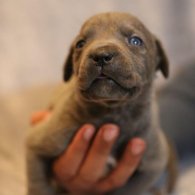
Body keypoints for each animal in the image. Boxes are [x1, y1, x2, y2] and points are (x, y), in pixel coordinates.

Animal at [26, 12, 177, 195]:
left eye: (135, 41)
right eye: (80, 44)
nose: (101, 55)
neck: (112, 111)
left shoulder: (153, 164)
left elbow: (126, 190)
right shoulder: (37, 144)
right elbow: (38, 186)